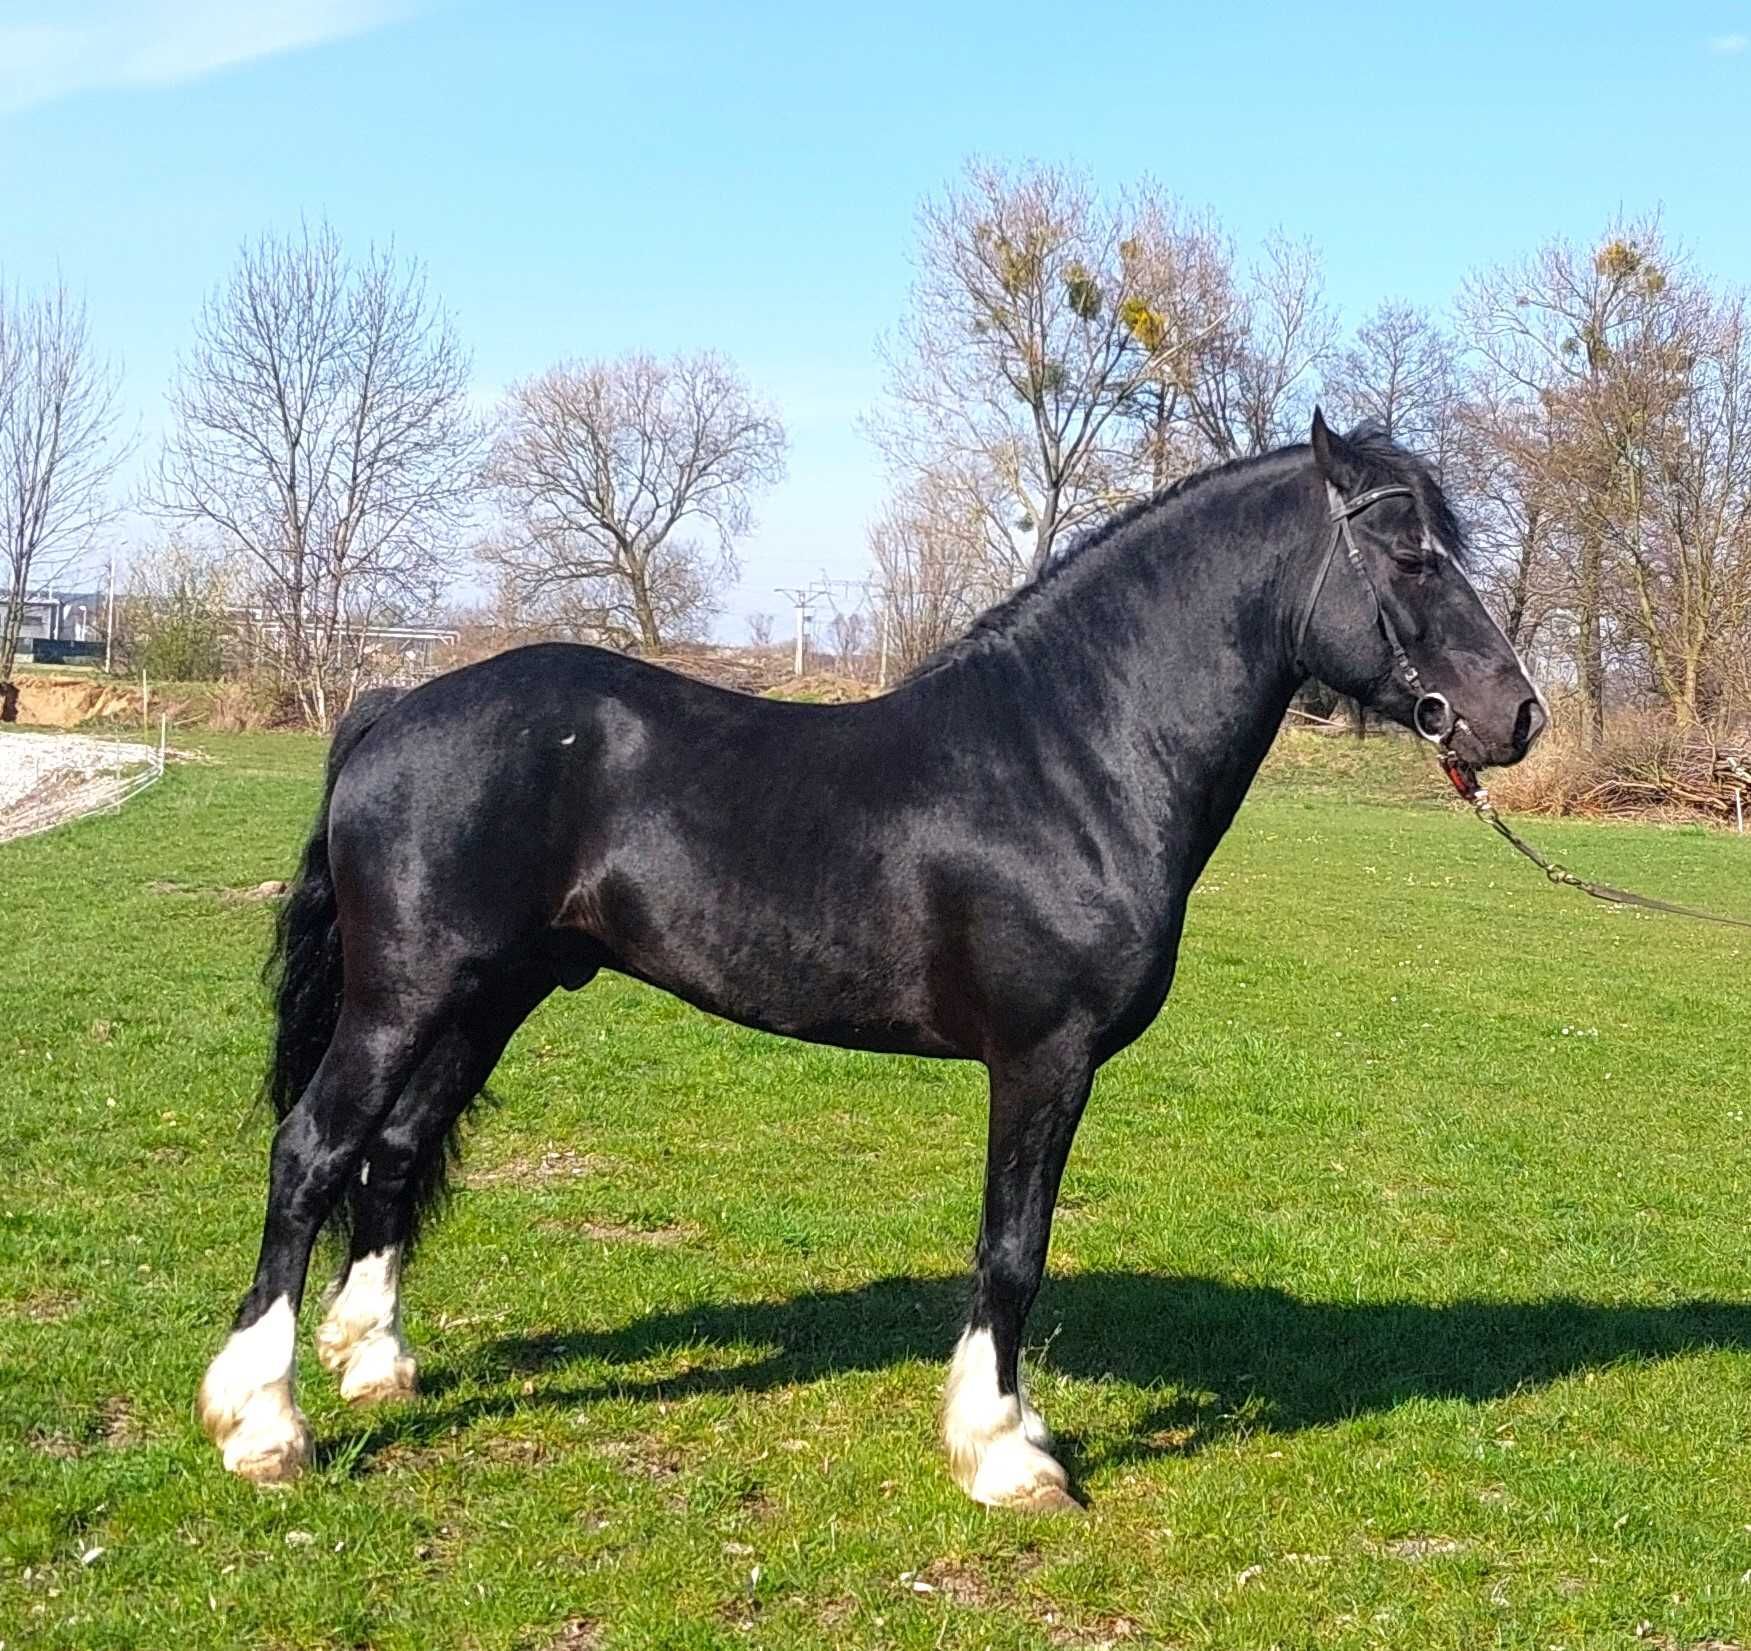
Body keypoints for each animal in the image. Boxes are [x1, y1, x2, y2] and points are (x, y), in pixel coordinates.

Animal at [198, 413, 1547, 1512]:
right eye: (1411, 556)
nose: (1514, 716)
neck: (1073, 756)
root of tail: (392, 704)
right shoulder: (1043, 1061)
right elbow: (1013, 1247)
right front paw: (1004, 1452)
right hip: (407, 993)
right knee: (312, 1150)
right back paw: (263, 1425)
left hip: (486, 994)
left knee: (394, 1147)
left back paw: (374, 1363)